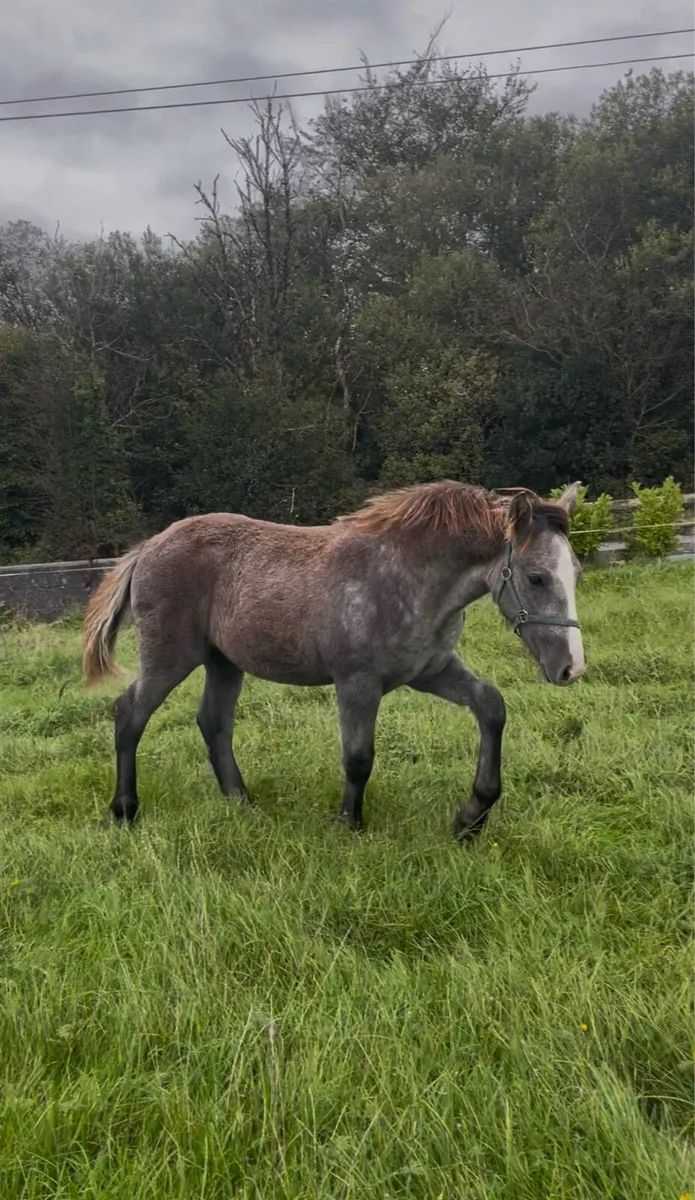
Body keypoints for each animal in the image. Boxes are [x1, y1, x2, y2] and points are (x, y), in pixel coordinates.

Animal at [82, 479, 584, 839]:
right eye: (536, 577)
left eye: (575, 572)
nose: (571, 667)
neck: (405, 576)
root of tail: (148, 547)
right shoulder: (357, 683)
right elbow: (358, 756)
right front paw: (349, 823)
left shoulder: (431, 671)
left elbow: (491, 706)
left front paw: (472, 817)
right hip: (169, 658)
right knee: (129, 713)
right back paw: (125, 809)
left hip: (223, 662)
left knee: (213, 723)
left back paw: (240, 800)